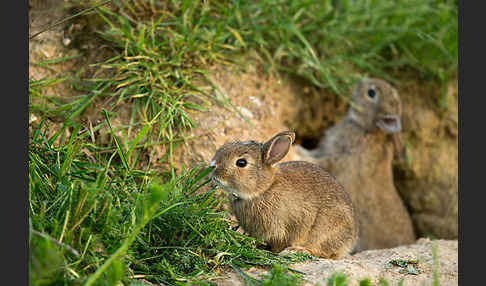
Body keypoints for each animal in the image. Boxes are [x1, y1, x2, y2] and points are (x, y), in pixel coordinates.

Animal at [294, 77, 416, 250]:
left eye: (371, 93)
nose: (360, 82)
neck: (367, 128)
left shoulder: (339, 159)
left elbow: (320, 162)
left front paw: (297, 151)